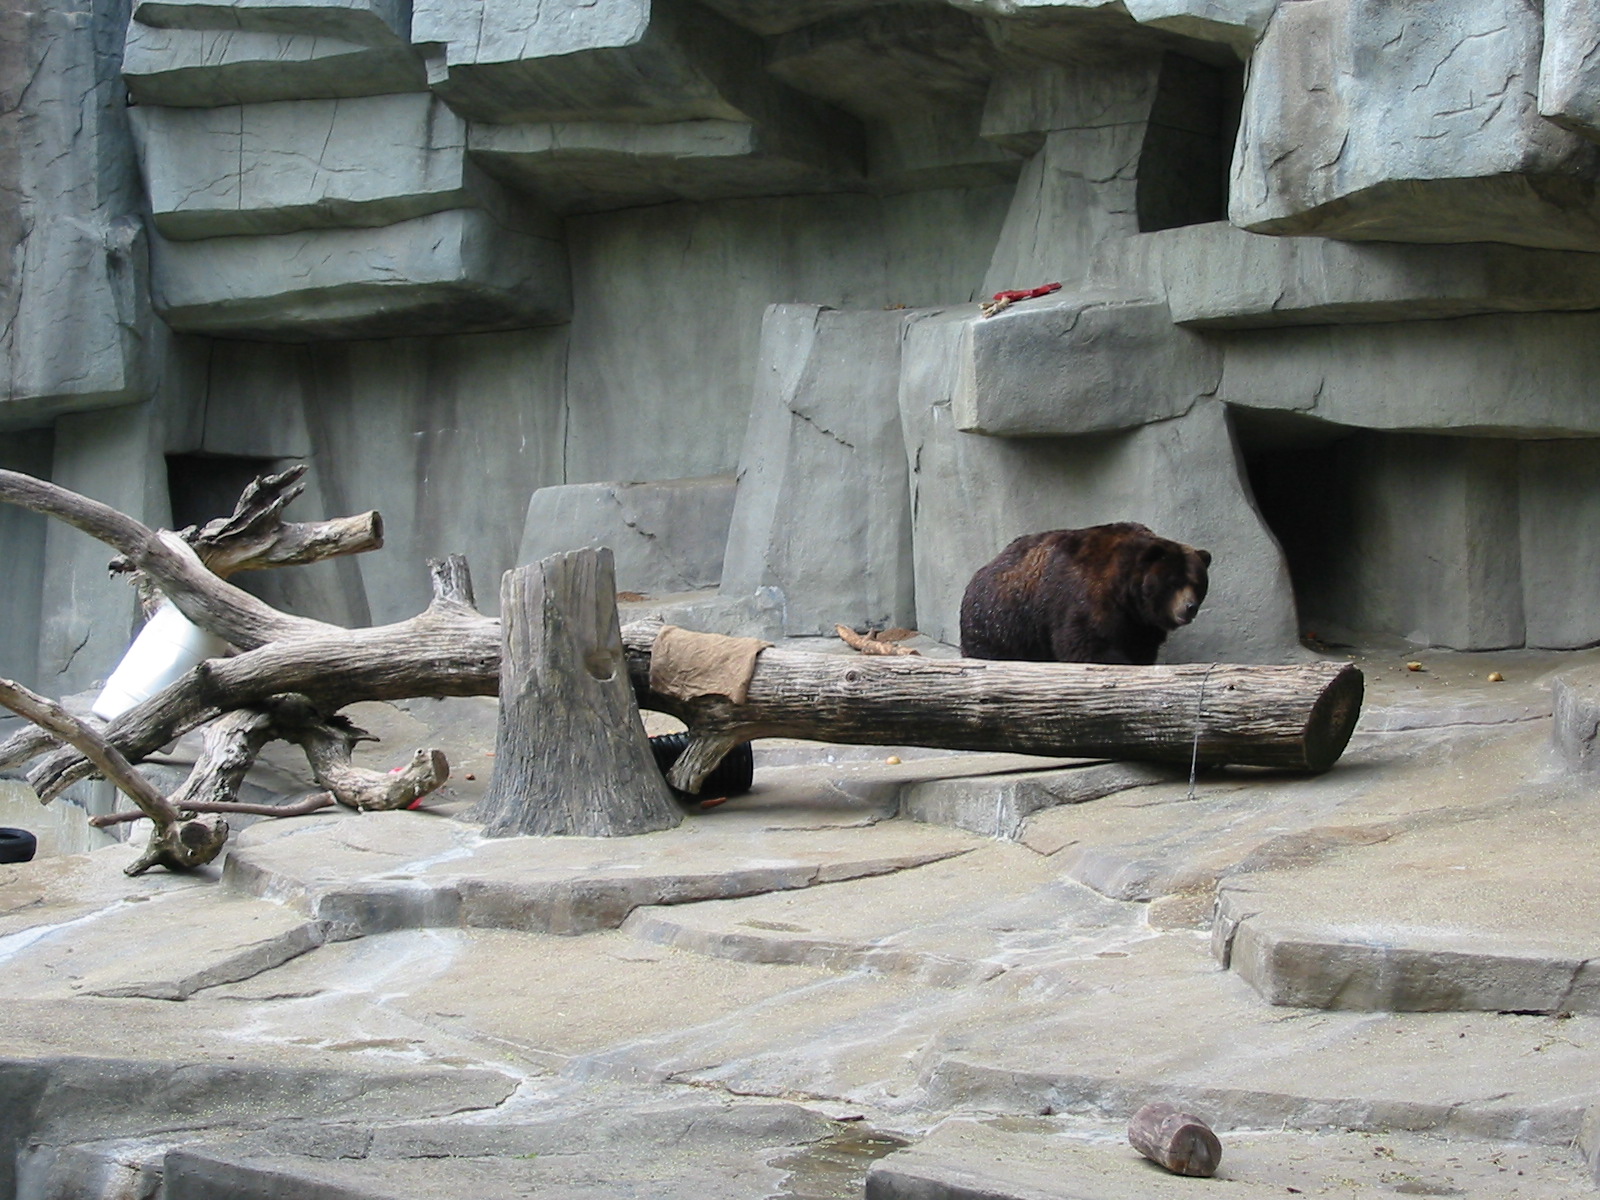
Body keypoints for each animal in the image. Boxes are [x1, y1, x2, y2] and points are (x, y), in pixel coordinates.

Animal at [958, 523, 1211, 665]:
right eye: (1173, 581)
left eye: (1198, 583)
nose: (1189, 607)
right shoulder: (1087, 596)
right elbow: (1086, 642)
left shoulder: (1140, 624)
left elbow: (1141, 647)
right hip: (1003, 619)